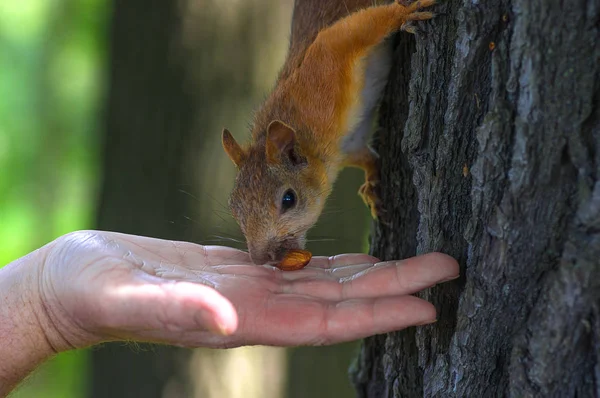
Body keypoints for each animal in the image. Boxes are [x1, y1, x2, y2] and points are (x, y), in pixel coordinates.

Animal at [220, 0, 436, 268]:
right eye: (234, 207)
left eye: (289, 199)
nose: (260, 259)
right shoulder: (350, 146)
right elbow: (368, 158)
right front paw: (372, 189)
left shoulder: (326, 61)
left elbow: (360, 28)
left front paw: (403, 12)